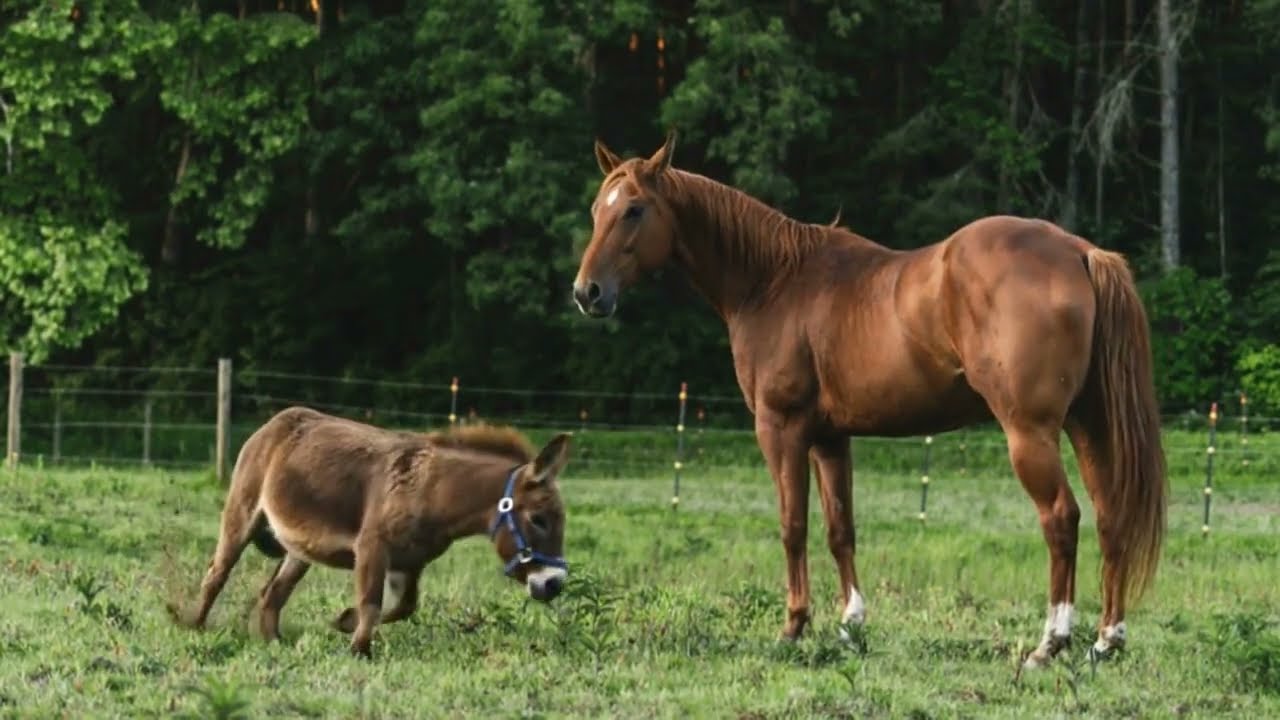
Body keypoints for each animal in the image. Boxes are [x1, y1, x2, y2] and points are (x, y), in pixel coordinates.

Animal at [169, 406, 574, 658]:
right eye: (539, 519)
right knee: (217, 574)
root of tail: (275, 423)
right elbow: (372, 603)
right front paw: (359, 651)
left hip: (299, 550)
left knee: (272, 595)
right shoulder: (372, 547)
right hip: (242, 513)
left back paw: (275, 644)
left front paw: (343, 622)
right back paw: (195, 627)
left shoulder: (409, 562)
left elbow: (404, 607)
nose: (554, 584)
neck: (433, 490)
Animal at [570, 134, 1166, 669]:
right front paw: (850, 626)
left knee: (1062, 518)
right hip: (1089, 427)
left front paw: (794, 627)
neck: (773, 281)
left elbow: (792, 525)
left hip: (1031, 432)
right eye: (598, 209)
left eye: (634, 210)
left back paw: (1051, 643)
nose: (586, 293)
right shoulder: (831, 438)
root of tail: (1079, 252)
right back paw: (1106, 640)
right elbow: (841, 529)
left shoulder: (780, 429)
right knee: (1111, 516)